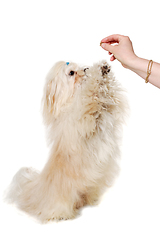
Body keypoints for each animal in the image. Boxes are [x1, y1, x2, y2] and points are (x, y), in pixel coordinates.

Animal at [6, 61, 128, 222]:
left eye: (81, 67)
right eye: (71, 73)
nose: (85, 69)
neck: (71, 97)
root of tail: (32, 191)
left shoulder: (107, 110)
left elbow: (108, 94)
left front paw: (104, 69)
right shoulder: (83, 115)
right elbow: (91, 94)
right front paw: (97, 73)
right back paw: (61, 215)